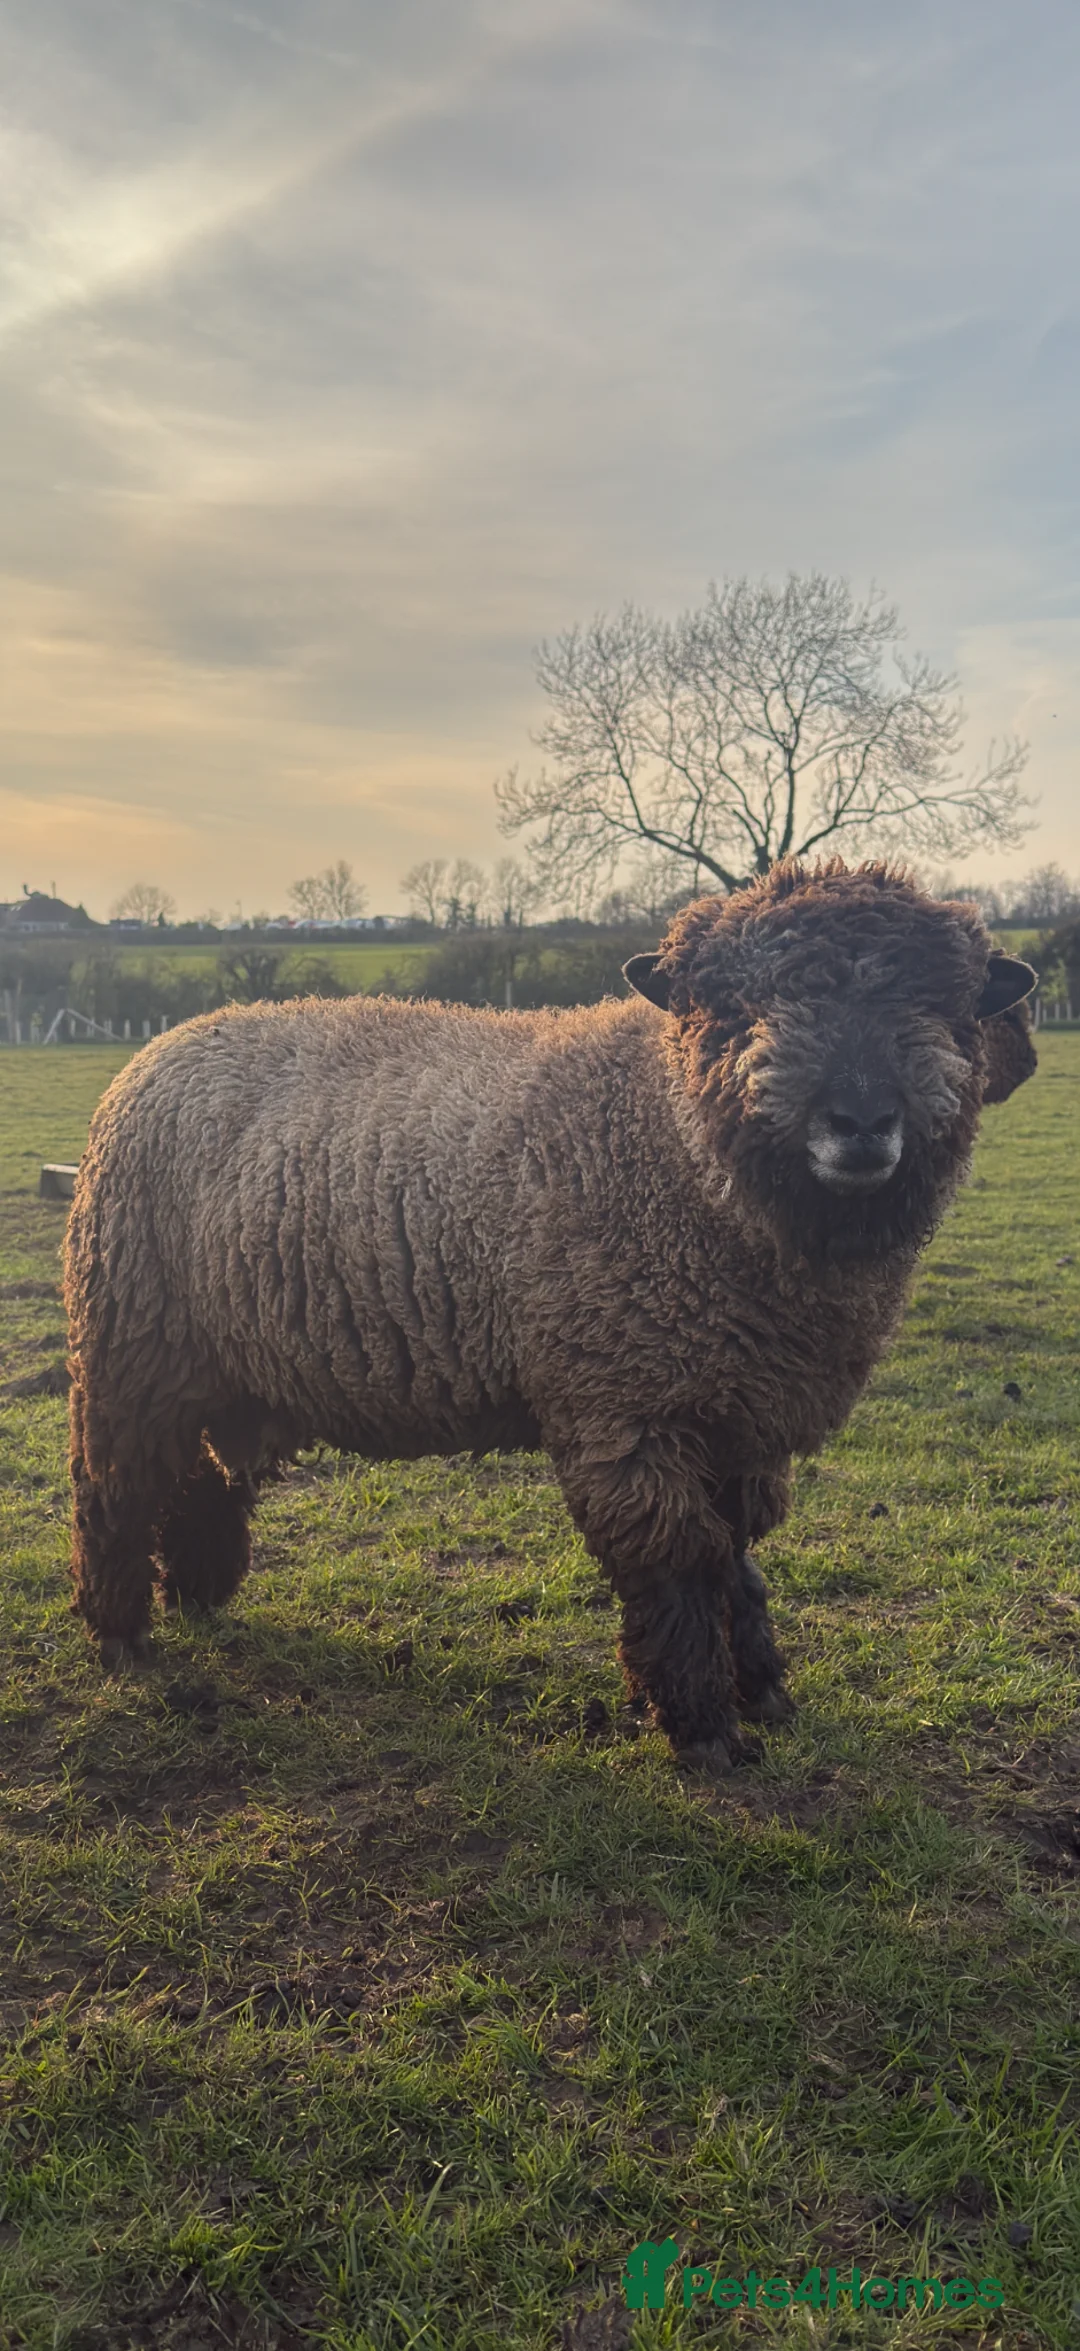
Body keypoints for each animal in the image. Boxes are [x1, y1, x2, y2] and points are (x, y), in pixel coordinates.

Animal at [64, 859, 1035, 1772]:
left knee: (198, 1476)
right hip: (128, 1346)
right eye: (737, 1008)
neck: (669, 1138)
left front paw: (762, 1687)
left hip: (218, 1365)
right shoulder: (626, 1406)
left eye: (943, 1007)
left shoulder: (737, 1411)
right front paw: (700, 1725)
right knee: (116, 1485)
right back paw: (121, 1635)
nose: (860, 1119)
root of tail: (167, 1045)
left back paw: (198, 1593)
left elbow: (736, 1556)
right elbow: (679, 1560)